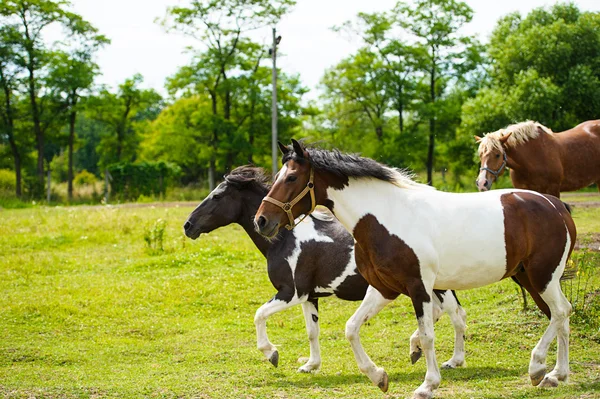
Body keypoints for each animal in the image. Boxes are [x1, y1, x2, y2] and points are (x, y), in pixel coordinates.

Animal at [183, 166, 468, 376]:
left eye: (217, 196)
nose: (188, 226)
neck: (286, 239)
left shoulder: (291, 292)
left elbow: (259, 314)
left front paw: (271, 353)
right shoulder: (310, 296)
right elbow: (312, 331)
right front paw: (311, 365)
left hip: (435, 286)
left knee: (456, 316)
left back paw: (453, 360)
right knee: (442, 313)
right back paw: (417, 349)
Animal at [253, 141, 576, 399]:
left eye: (292, 177)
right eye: (277, 176)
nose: (262, 221)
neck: (385, 218)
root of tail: (556, 205)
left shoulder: (418, 287)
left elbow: (427, 336)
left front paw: (427, 385)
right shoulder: (384, 289)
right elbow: (351, 328)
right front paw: (379, 377)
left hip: (542, 276)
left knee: (560, 312)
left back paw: (537, 367)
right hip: (530, 278)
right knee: (559, 316)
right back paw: (555, 375)